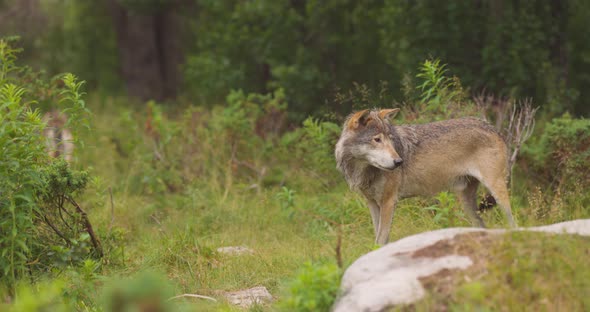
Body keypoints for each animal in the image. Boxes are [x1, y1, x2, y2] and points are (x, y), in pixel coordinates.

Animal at [338, 108, 520, 245]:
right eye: (377, 139)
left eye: (390, 139)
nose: (399, 161)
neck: (363, 170)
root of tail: (493, 128)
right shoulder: (372, 203)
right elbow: (378, 240)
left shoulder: (389, 202)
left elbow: (381, 240)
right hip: (467, 203)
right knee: (483, 226)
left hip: (497, 193)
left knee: (512, 223)